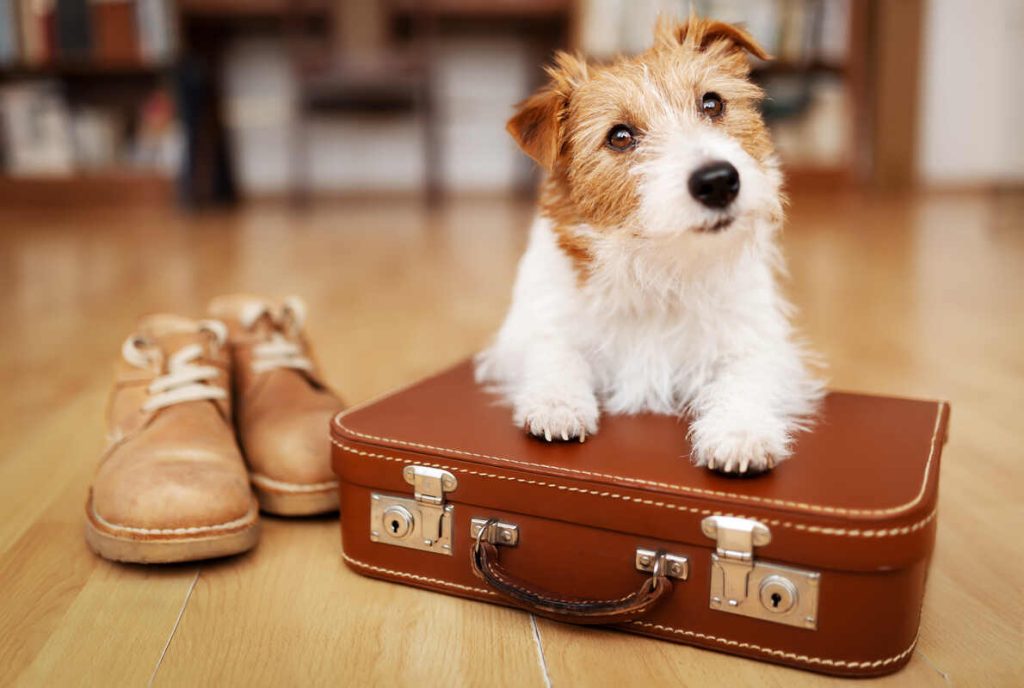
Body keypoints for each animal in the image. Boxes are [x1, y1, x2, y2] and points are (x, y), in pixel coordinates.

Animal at [473, 14, 823, 473]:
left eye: (712, 104)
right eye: (619, 136)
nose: (718, 181)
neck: (659, 266)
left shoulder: (758, 342)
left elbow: (746, 379)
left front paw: (740, 432)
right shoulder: (530, 331)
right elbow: (555, 352)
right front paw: (557, 403)